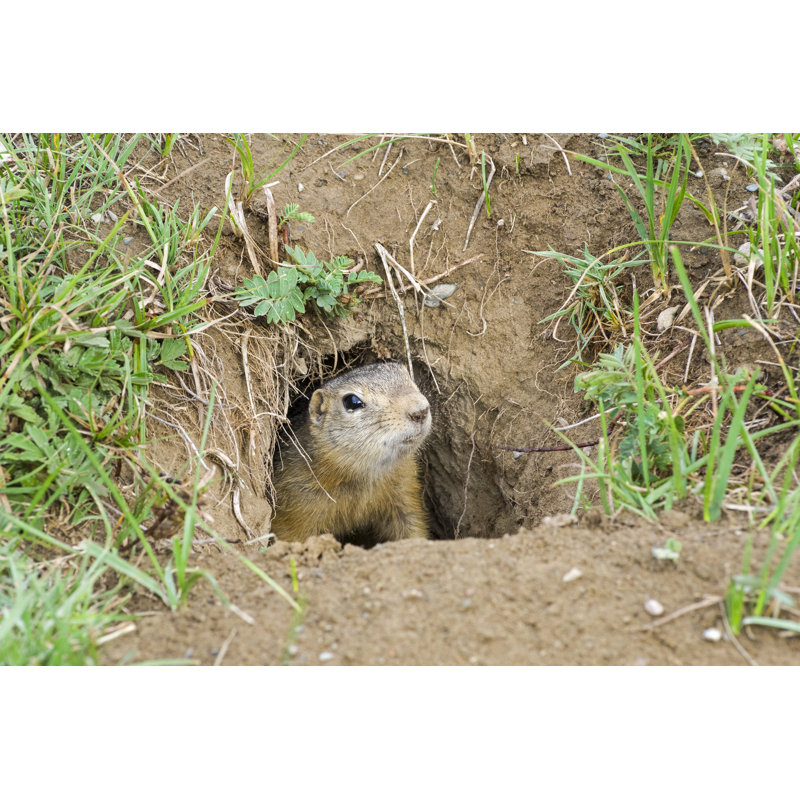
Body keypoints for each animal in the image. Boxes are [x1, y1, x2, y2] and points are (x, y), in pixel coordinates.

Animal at [270, 361, 432, 546]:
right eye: (352, 401)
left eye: (407, 375)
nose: (420, 411)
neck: (365, 476)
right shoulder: (295, 509)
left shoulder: (404, 491)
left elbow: (412, 525)